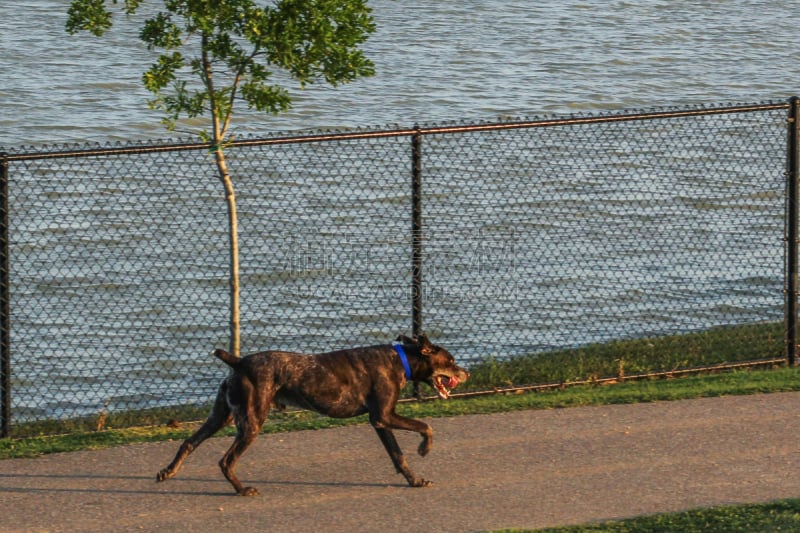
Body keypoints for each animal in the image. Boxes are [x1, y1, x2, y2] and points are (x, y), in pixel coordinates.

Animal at [155, 334, 468, 492]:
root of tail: (239, 361)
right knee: (225, 460)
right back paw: (242, 489)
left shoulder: (381, 422)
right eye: (450, 360)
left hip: (221, 415)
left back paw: (167, 472)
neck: (399, 360)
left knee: (189, 442)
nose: (465, 372)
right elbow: (426, 426)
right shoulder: (383, 416)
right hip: (251, 422)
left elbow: (398, 456)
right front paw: (424, 449)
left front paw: (414, 480)